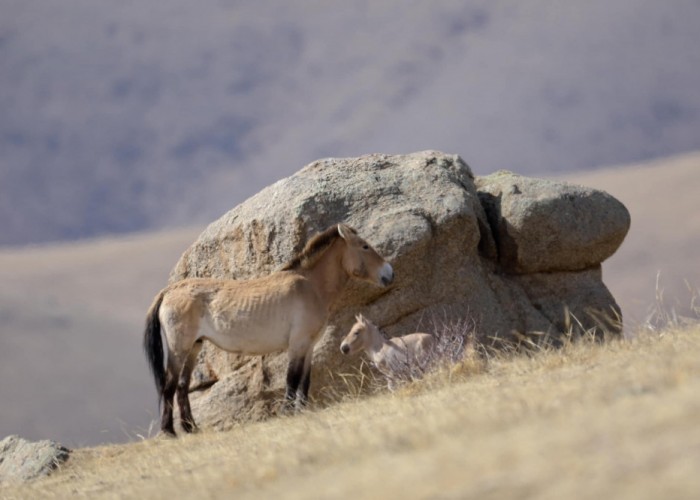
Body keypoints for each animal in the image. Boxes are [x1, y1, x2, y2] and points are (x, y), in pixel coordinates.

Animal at [142, 225, 394, 436]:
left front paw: (302, 410)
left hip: (194, 347)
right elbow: (292, 378)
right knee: (169, 385)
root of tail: (170, 290)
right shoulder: (298, 343)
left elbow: (304, 380)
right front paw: (286, 413)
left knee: (182, 386)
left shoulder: (309, 346)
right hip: (179, 348)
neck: (310, 286)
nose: (390, 273)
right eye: (365, 246)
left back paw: (191, 428)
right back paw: (170, 432)